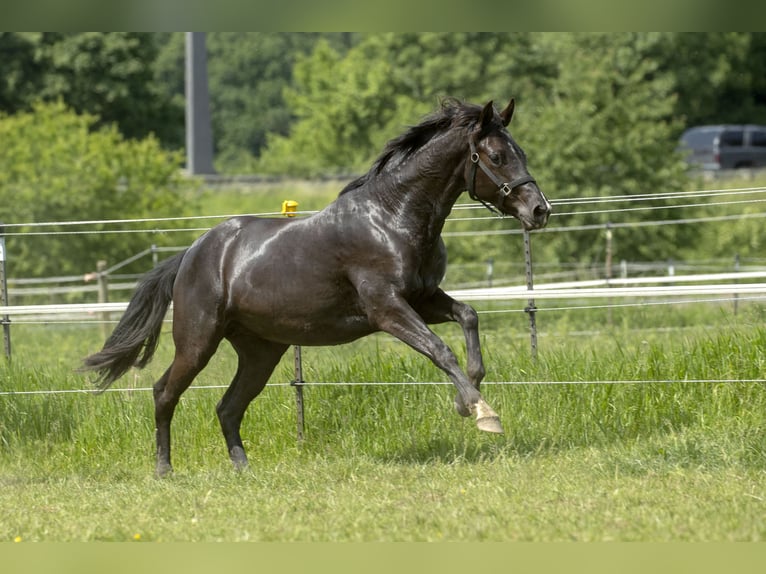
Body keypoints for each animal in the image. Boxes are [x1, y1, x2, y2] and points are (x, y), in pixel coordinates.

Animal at [82, 99, 552, 476]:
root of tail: (192, 254)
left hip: (261, 351)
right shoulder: (388, 309)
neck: (393, 218)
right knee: (164, 392)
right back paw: (164, 469)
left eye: (522, 153)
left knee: (228, 406)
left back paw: (243, 468)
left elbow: (468, 317)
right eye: (496, 156)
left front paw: (467, 397)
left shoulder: (424, 298)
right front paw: (483, 413)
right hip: (198, 341)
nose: (539, 210)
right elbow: (441, 350)